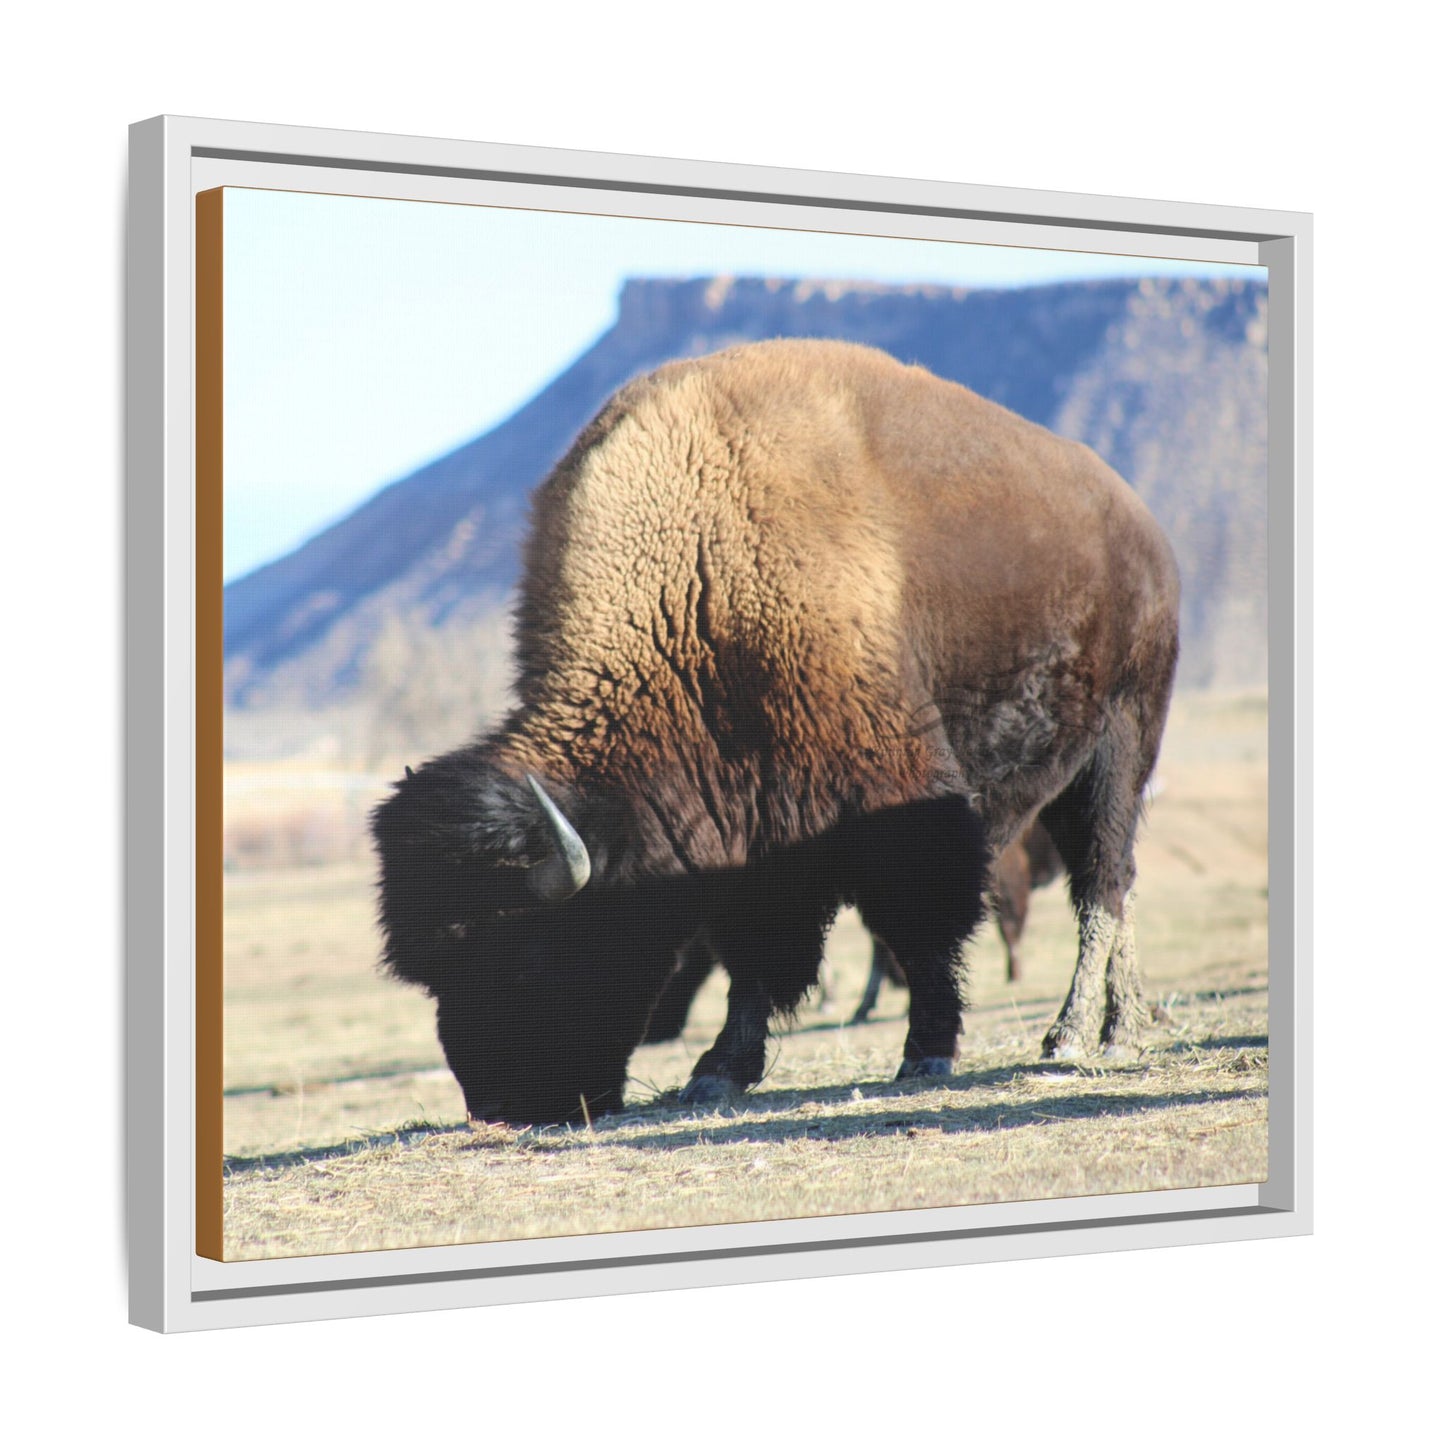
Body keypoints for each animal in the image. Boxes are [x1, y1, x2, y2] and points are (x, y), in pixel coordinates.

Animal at [372, 339, 1180, 1125]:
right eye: (433, 972)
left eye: (526, 951)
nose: (498, 1107)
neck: (696, 583)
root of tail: (1141, 527)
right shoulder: (750, 833)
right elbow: (755, 955)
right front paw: (719, 1071)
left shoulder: (896, 799)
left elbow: (918, 925)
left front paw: (926, 1051)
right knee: (1117, 884)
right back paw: (1121, 1024)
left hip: (1118, 748)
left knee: (1101, 884)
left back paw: (1077, 1034)